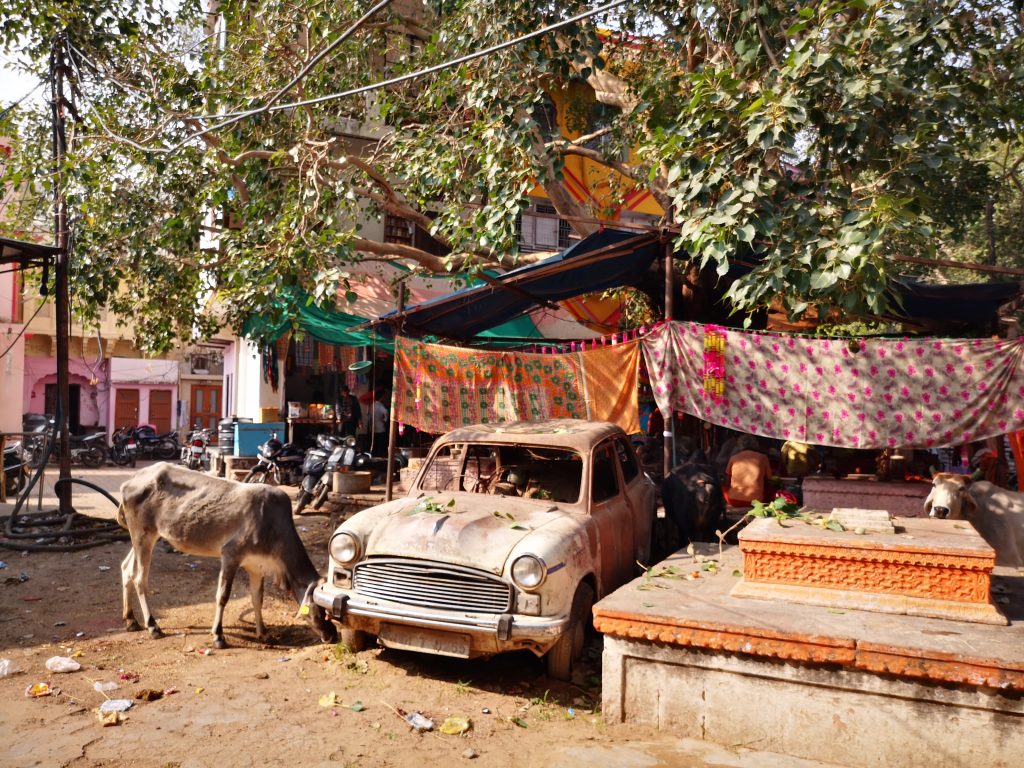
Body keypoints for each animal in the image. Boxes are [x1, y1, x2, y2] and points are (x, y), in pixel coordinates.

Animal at [117, 462, 337, 651]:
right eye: (321, 609)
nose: (332, 635)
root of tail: (132, 479)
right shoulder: (231, 554)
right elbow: (222, 596)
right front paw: (218, 636)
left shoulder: (256, 566)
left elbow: (257, 598)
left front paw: (263, 632)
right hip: (143, 535)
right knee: (140, 579)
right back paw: (153, 626)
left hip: (144, 537)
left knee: (126, 569)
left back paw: (131, 620)